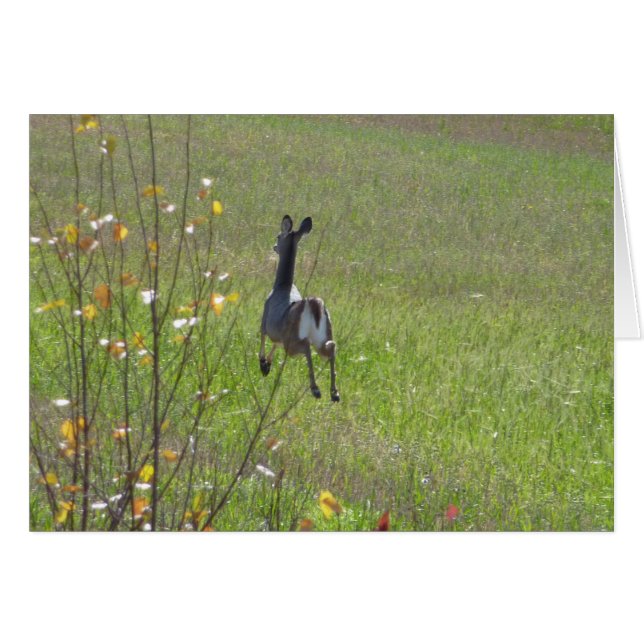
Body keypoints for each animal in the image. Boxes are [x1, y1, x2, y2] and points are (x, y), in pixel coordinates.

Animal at [259, 215, 340, 402]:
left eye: (278, 236)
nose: (274, 246)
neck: (283, 285)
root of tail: (314, 305)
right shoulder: (277, 334)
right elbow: (274, 344)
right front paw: (267, 365)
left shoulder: (265, 320)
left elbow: (263, 339)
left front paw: (263, 365)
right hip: (323, 335)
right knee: (331, 347)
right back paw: (334, 392)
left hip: (294, 340)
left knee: (306, 347)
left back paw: (316, 389)